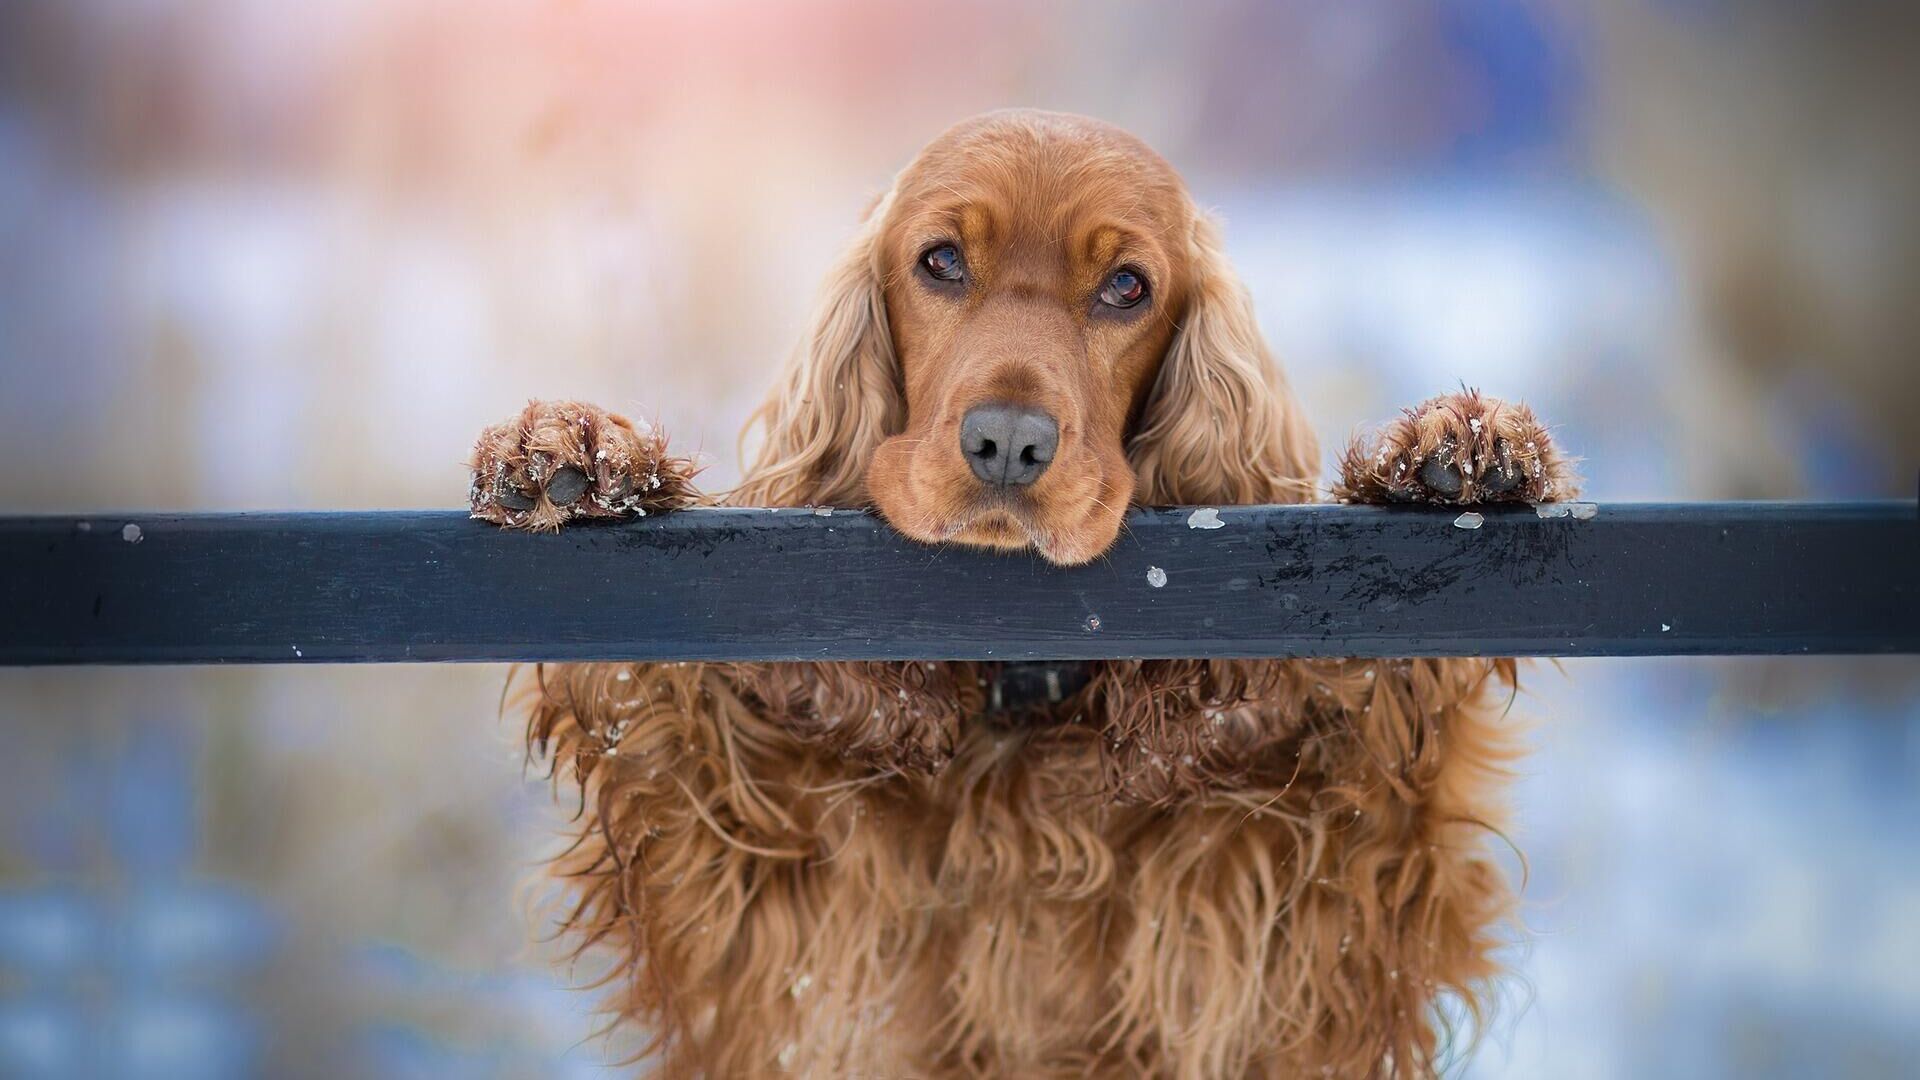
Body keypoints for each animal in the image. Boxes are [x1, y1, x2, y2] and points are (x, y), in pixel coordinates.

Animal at [464, 111, 1574, 1076]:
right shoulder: (757, 908)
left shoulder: (1306, 915)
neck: (1019, 699)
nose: (1007, 442)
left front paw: (1450, 450)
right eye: (941, 261)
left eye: (1127, 286)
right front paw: (576, 455)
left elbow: (1390, 763)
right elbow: (665, 721)